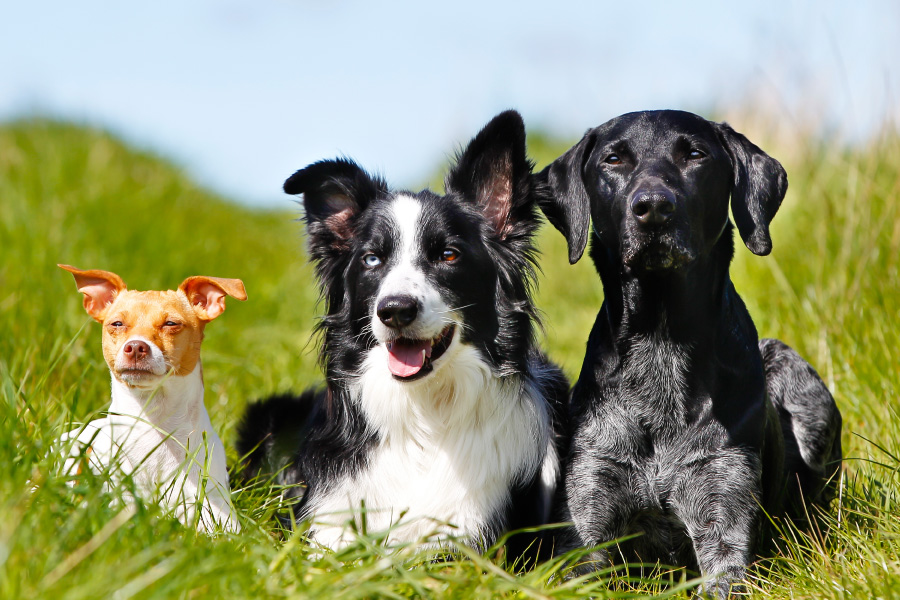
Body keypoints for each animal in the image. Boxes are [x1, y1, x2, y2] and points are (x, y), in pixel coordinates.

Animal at [532, 111, 840, 596]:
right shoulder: (587, 519)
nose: (654, 207)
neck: (661, 341)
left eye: (695, 154)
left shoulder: (723, 520)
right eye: (613, 159)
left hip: (798, 380)